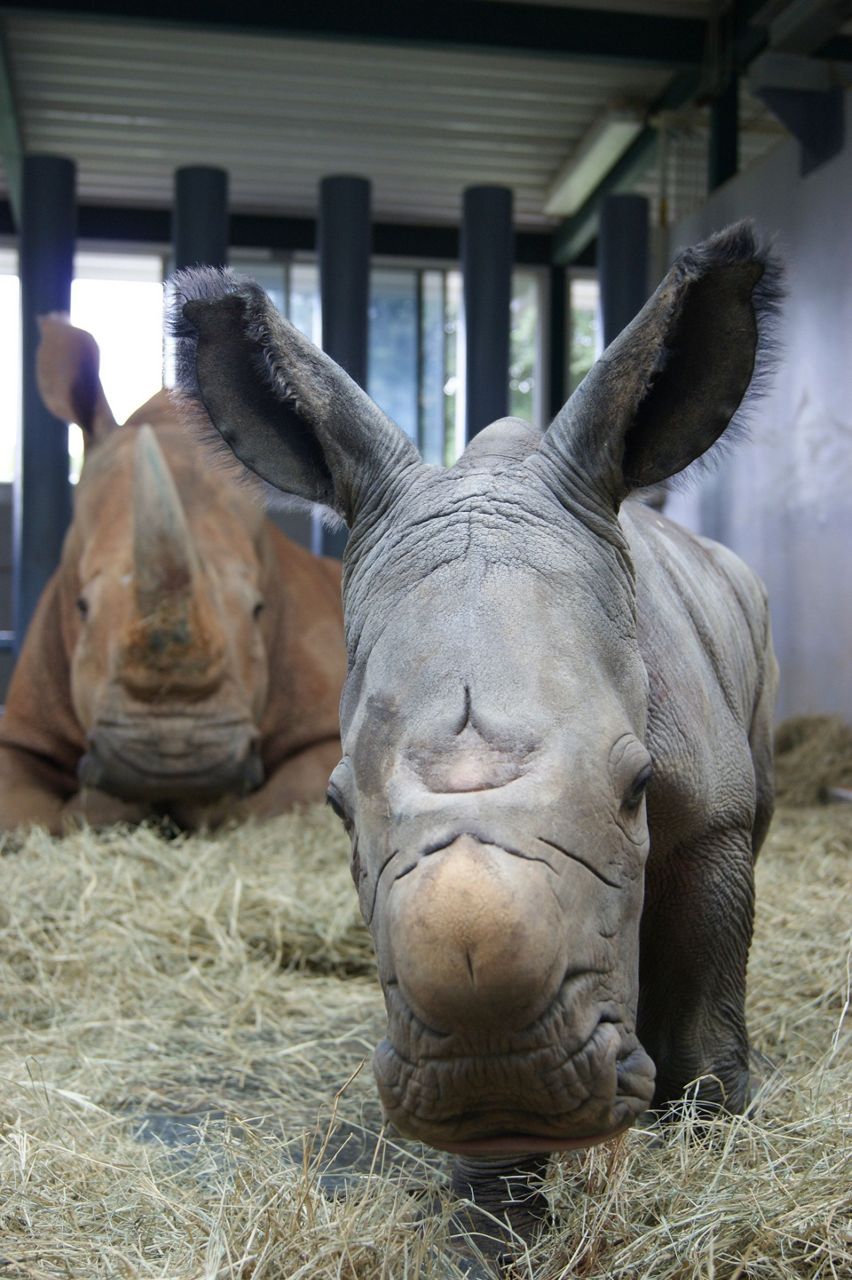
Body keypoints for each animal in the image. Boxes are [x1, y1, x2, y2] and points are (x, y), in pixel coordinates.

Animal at [0, 309, 345, 829]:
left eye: (258, 610)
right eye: (81, 606)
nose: (175, 761)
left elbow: (277, 795)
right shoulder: (22, 726)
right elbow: (17, 805)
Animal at [168, 222, 777, 1259]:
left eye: (639, 786)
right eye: (336, 808)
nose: (505, 1077)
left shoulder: (713, 817)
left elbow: (706, 979)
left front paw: (714, 1137)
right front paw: (495, 1228)